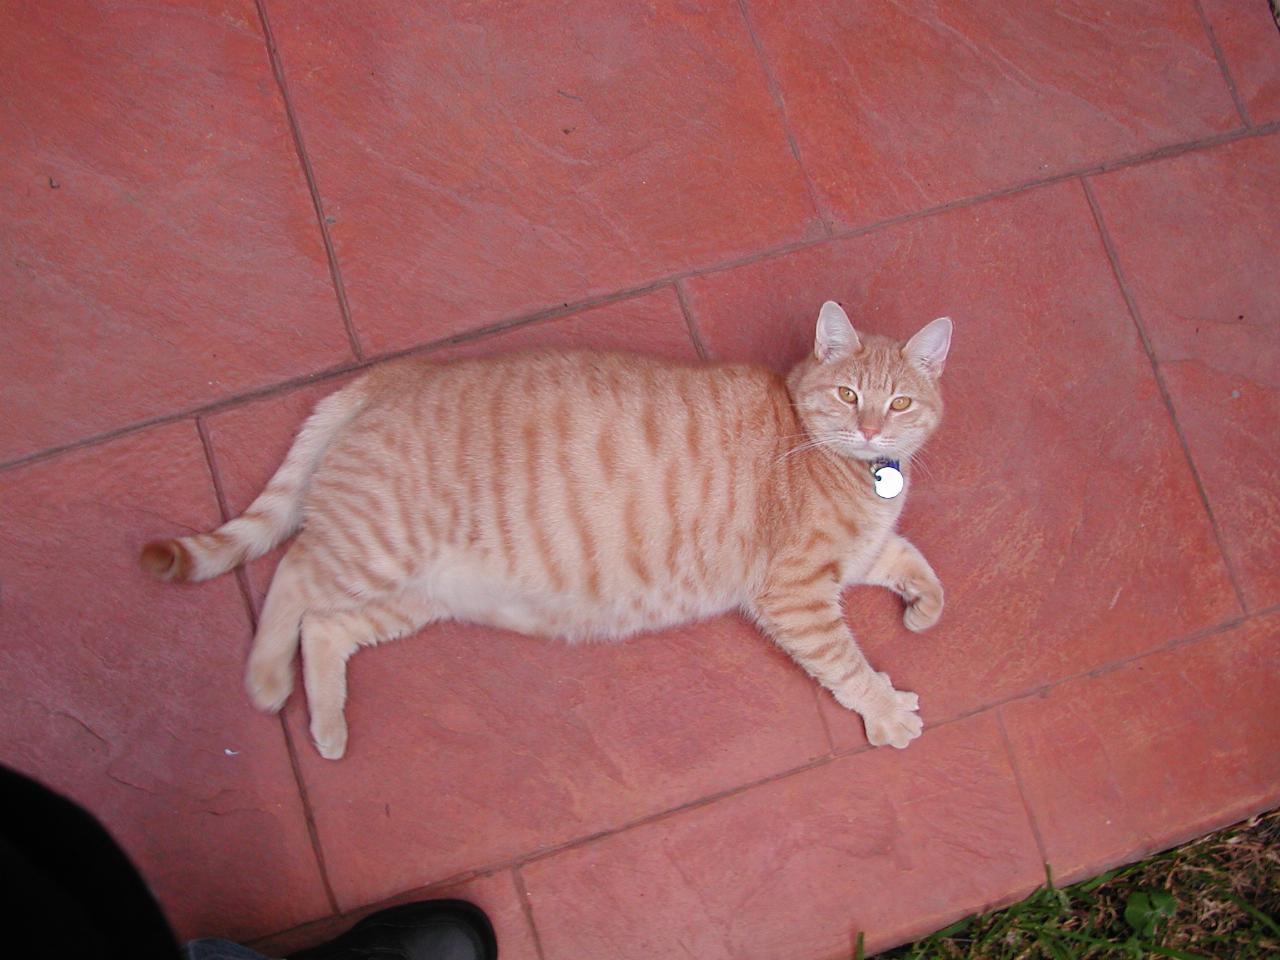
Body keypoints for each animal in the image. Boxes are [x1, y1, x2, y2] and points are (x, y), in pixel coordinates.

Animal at [140, 304, 952, 762]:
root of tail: (397, 375)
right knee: (292, 575)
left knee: (325, 627)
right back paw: (267, 680)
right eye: (847, 393)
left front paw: (919, 612)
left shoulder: (860, 558)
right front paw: (886, 711)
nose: (871, 427)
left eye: (901, 402)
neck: (852, 472)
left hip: (411, 595)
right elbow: (845, 662)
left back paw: (329, 726)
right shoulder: (796, 594)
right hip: (376, 548)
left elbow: (920, 566)